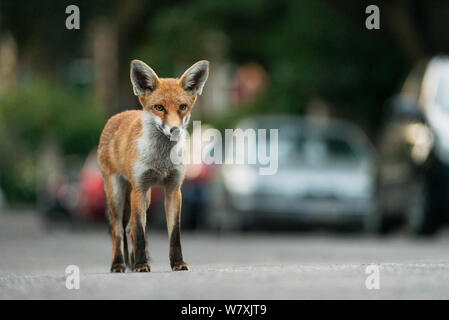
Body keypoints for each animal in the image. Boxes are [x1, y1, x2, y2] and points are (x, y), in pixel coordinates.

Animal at [97, 58, 209, 272]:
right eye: (159, 107)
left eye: (182, 106)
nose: (174, 130)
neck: (161, 160)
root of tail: (119, 114)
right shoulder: (139, 189)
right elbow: (140, 233)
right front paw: (141, 265)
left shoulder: (173, 189)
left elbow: (174, 233)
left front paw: (177, 263)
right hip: (117, 193)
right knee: (119, 229)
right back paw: (119, 264)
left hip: (146, 197)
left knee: (129, 228)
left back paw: (131, 261)